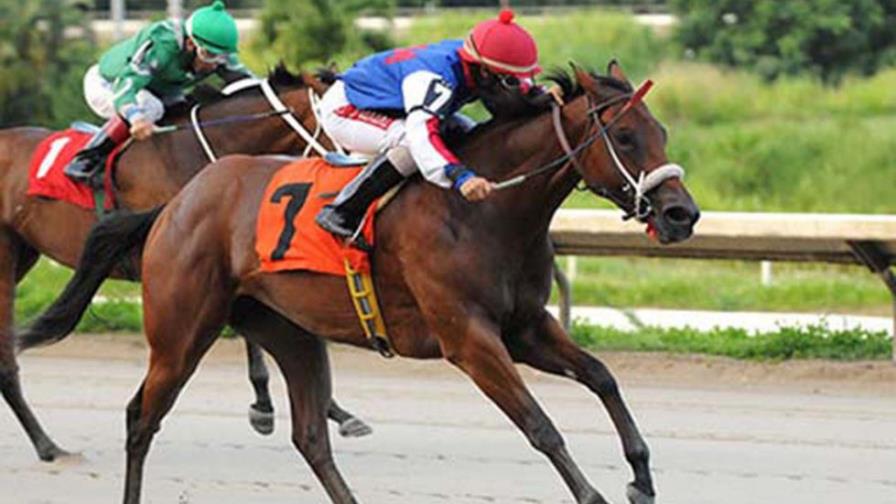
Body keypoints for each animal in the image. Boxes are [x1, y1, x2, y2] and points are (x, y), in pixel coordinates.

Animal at [115, 62, 700, 504]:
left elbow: (602, 377)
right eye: (624, 136)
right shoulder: (469, 340)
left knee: (311, 437)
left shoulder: (525, 327)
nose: (682, 214)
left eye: (662, 132)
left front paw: (641, 477)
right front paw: (595, 494)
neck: (485, 212)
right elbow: (540, 425)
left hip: (291, 334)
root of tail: (176, 203)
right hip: (181, 333)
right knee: (141, 418)